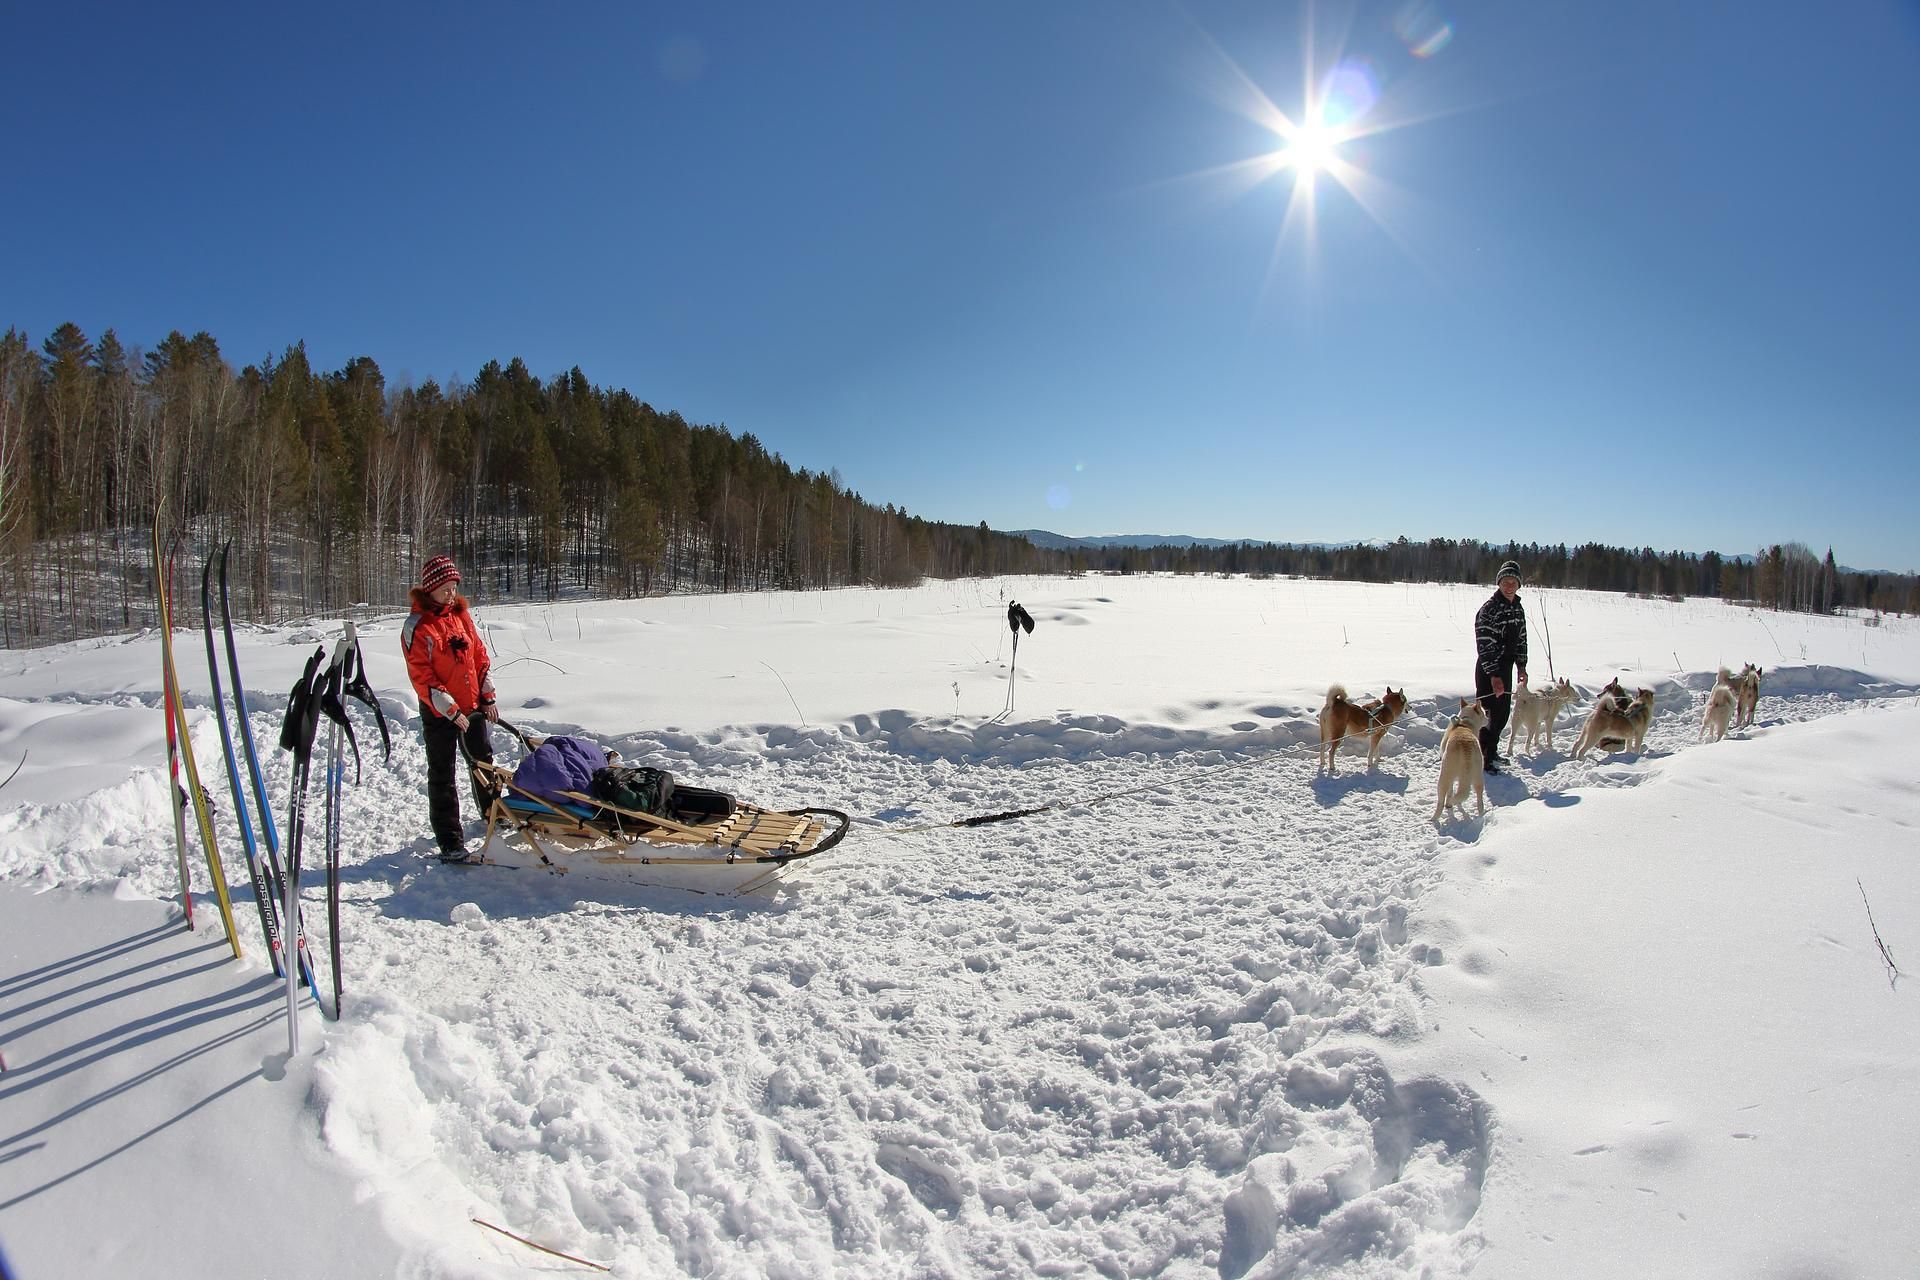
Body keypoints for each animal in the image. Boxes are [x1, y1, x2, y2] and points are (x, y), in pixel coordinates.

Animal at [1436, 694, 1489, 825]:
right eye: (1484, 713)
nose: (1488, 718)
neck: (1464, 723)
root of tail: (1465, 747)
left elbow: (1450, 791)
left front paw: (1449, 804)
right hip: (1478, 776)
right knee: (1479, 800)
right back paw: (1481, 816)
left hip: (1444, 776)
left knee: (1441, 801)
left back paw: (1434, 818)